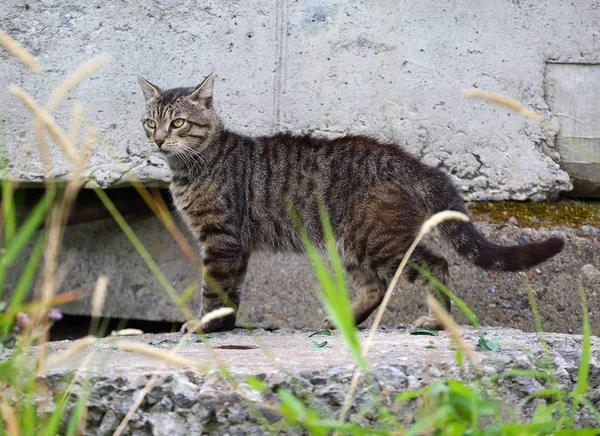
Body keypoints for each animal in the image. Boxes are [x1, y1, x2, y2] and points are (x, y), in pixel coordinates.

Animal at [138, 74, 564, 334]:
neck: (192, 167)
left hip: (379, 239)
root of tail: (408, 159)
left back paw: (437, 320)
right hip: (353, 244)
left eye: (178, 123)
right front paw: (222, 325)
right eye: (150, 122)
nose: (158, 140)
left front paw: (204, 326)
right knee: (375, 287)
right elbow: (229, 293)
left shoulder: (222, 238)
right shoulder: (233, 244)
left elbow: (214, 289)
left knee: (436, 264)